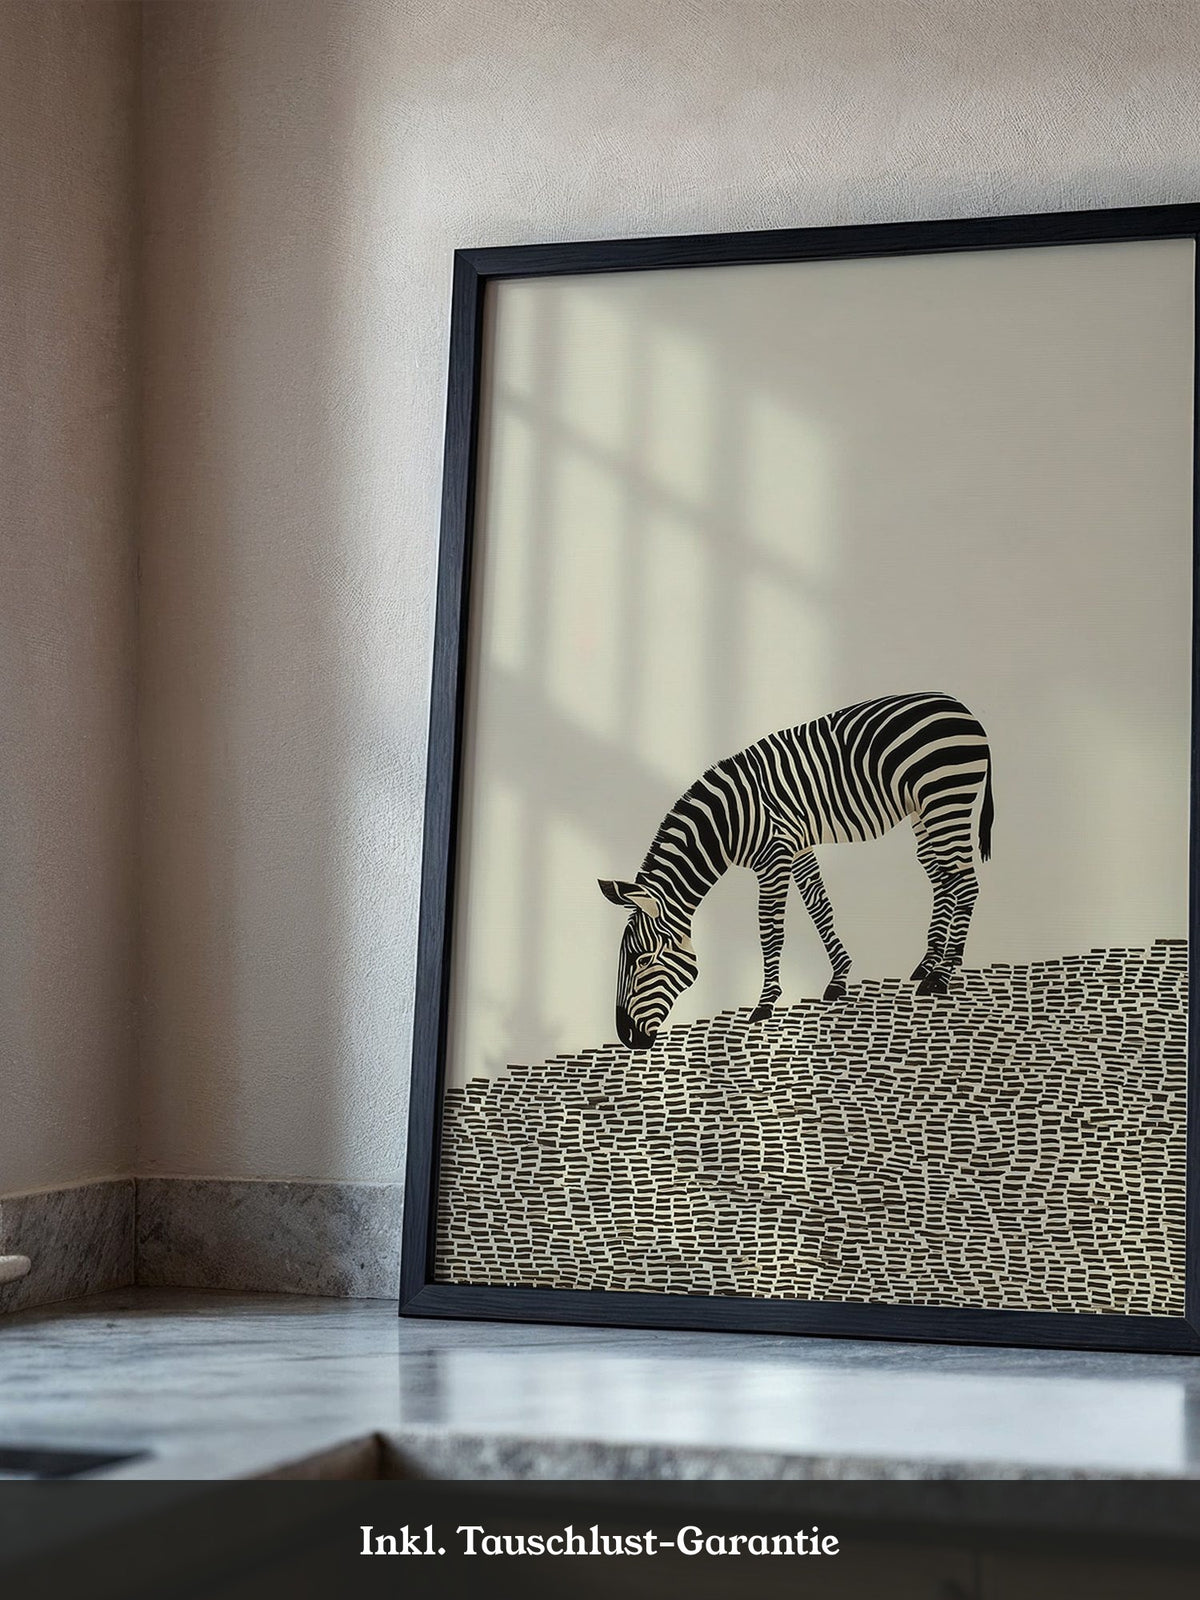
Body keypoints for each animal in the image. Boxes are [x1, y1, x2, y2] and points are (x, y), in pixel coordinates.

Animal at [599, 691, 993, 1051]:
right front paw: (839, 978)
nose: (626, 1038)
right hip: (923, 810)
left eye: (641, 959)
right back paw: (928, 962)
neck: (729, 822)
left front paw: (765, 1003)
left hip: (946, 801)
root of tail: (963, 708)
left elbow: (770, 931)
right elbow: (819, 908)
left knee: (966, 883)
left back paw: (943, 973)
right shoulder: (799, 846)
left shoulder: (773, 858)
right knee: (942, 877)